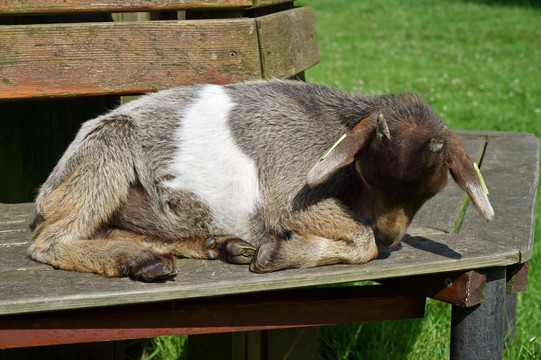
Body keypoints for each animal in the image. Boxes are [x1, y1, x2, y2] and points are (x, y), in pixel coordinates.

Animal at [27, 81, 492, 282]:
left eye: (432, 191)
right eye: (366, 173)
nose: (392, 234)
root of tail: (45, 192)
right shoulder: (290, 194)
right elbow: (363, 242)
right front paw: (278, 253)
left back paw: (213, 246)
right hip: (107, 150)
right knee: (49, 242)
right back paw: (137, 260)